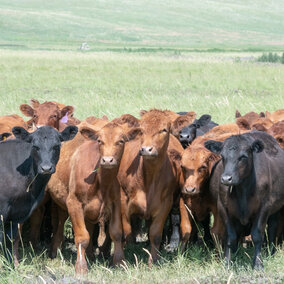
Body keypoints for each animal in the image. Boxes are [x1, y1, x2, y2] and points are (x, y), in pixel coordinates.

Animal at [118, 109, 183, 266]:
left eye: (164, 129)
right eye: (141, 130)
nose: (146, 149)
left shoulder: (165, 204)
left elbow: (156, 234)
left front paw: (153, 260)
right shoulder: (122, 199)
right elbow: (127, 230)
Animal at [205, 131, 284, 268]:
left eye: (243, 157)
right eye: (222, 156)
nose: (226, 179)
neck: (242, 191)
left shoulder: (264, 207)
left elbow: (257, 235)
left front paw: (258, 264)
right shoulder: (223, 208)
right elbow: (230, 237)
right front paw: (227, 262)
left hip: (276, 208)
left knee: (273, 228)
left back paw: (270, 252)